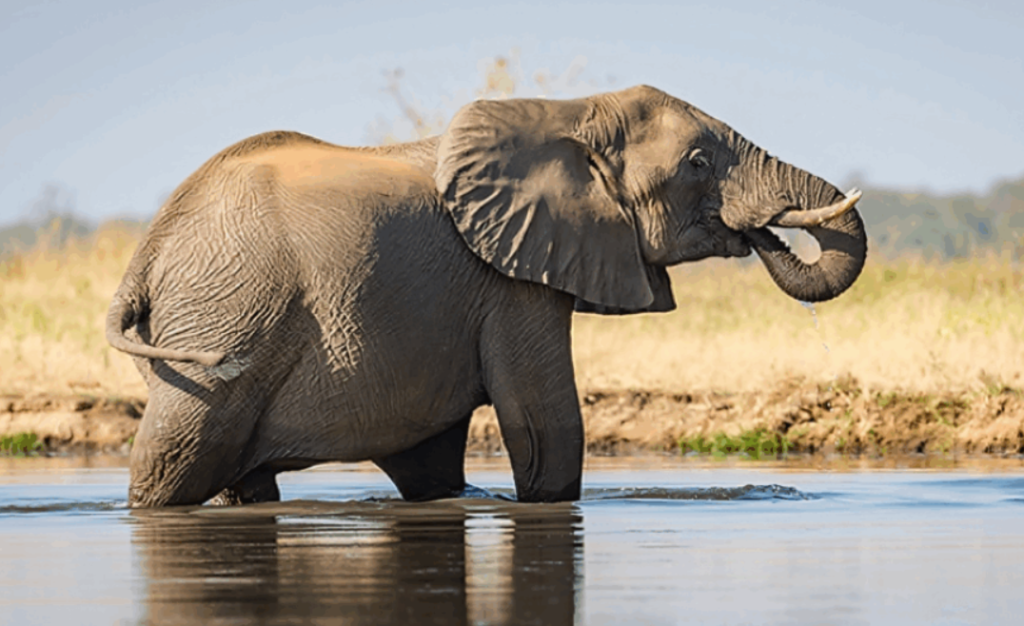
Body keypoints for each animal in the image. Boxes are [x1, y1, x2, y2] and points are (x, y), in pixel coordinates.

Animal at [107, 85, 866, 507]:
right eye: (699, 163)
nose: (759, 232)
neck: (572, 114)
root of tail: (147, 253)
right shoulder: (511, 280)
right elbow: (544, 425)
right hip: (225, 318)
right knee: (172, 459)